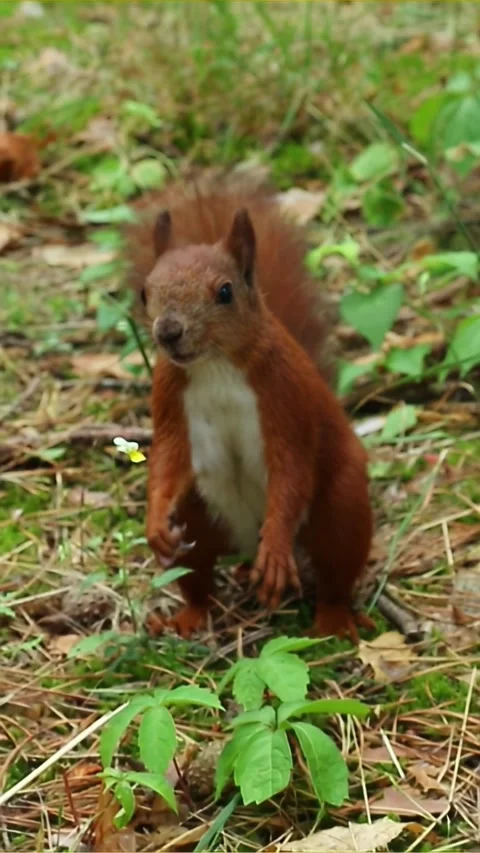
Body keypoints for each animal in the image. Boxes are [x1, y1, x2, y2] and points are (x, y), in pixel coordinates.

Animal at [126, 176, 374, 642]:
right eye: (145, 291)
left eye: (225, 292)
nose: (168, 332)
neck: (215, 365)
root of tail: (242, 543)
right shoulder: (169, 398)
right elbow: (167, 459)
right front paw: (153, 520)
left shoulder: (286, 398)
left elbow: (292, 469)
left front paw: (274, 549)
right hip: (199, 517)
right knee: (198, 575)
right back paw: (189, 617)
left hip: (340, 507)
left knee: (336, 567)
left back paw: (331, 619)